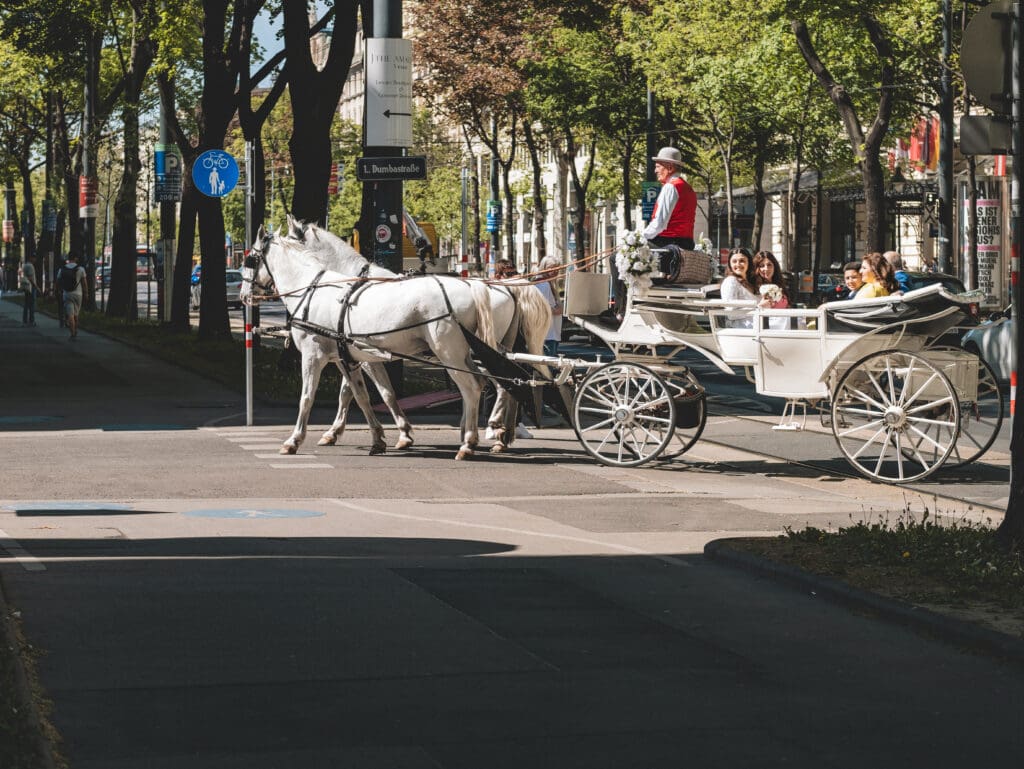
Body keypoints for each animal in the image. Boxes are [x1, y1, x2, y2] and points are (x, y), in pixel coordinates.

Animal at [243, 225, 552, 460]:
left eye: (249, 260)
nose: (245, 296)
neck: (314, 289)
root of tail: (481, 284)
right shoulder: (352, 357)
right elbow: (364, 395)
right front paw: (381, 437)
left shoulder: (315, 356)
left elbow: (308, 397)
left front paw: (295, 440)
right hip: (484, 351)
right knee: (503, 384)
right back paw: (494, 435)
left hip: (451, 352)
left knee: (477, 387)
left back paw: (472, 441)